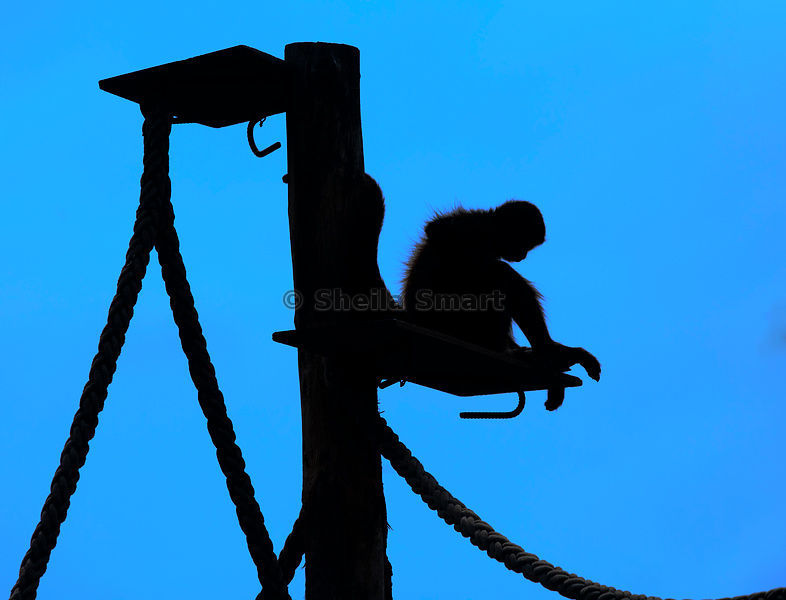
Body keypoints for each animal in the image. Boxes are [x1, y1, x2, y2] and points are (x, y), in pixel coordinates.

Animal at [402, 200, 600, 410]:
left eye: (528, 248)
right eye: (523, 244)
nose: (523, 255)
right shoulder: (477, 225)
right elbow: (439, 230)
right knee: (498, 273)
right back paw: (546, 351)